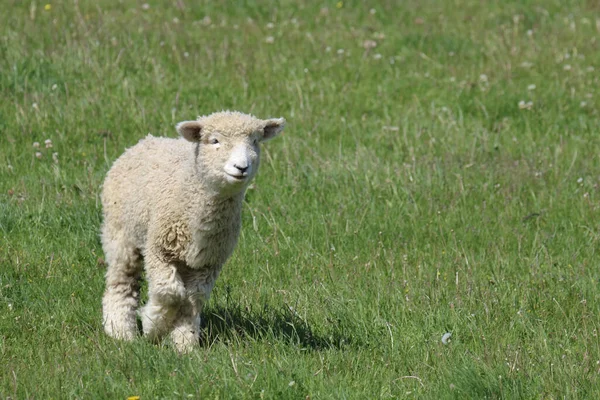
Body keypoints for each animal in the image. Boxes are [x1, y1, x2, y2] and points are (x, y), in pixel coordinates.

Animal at [101, 109, 286, 350]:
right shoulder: (159, 250)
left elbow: (192, 299)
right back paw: (120, 330)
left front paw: (185, 343)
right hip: (120, 234)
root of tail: (145, 140)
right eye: (214, 141)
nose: (241, 167)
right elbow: (169, 291)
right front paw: (154, 326)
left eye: (255, 141)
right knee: (121, 281)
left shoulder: (208, 262)